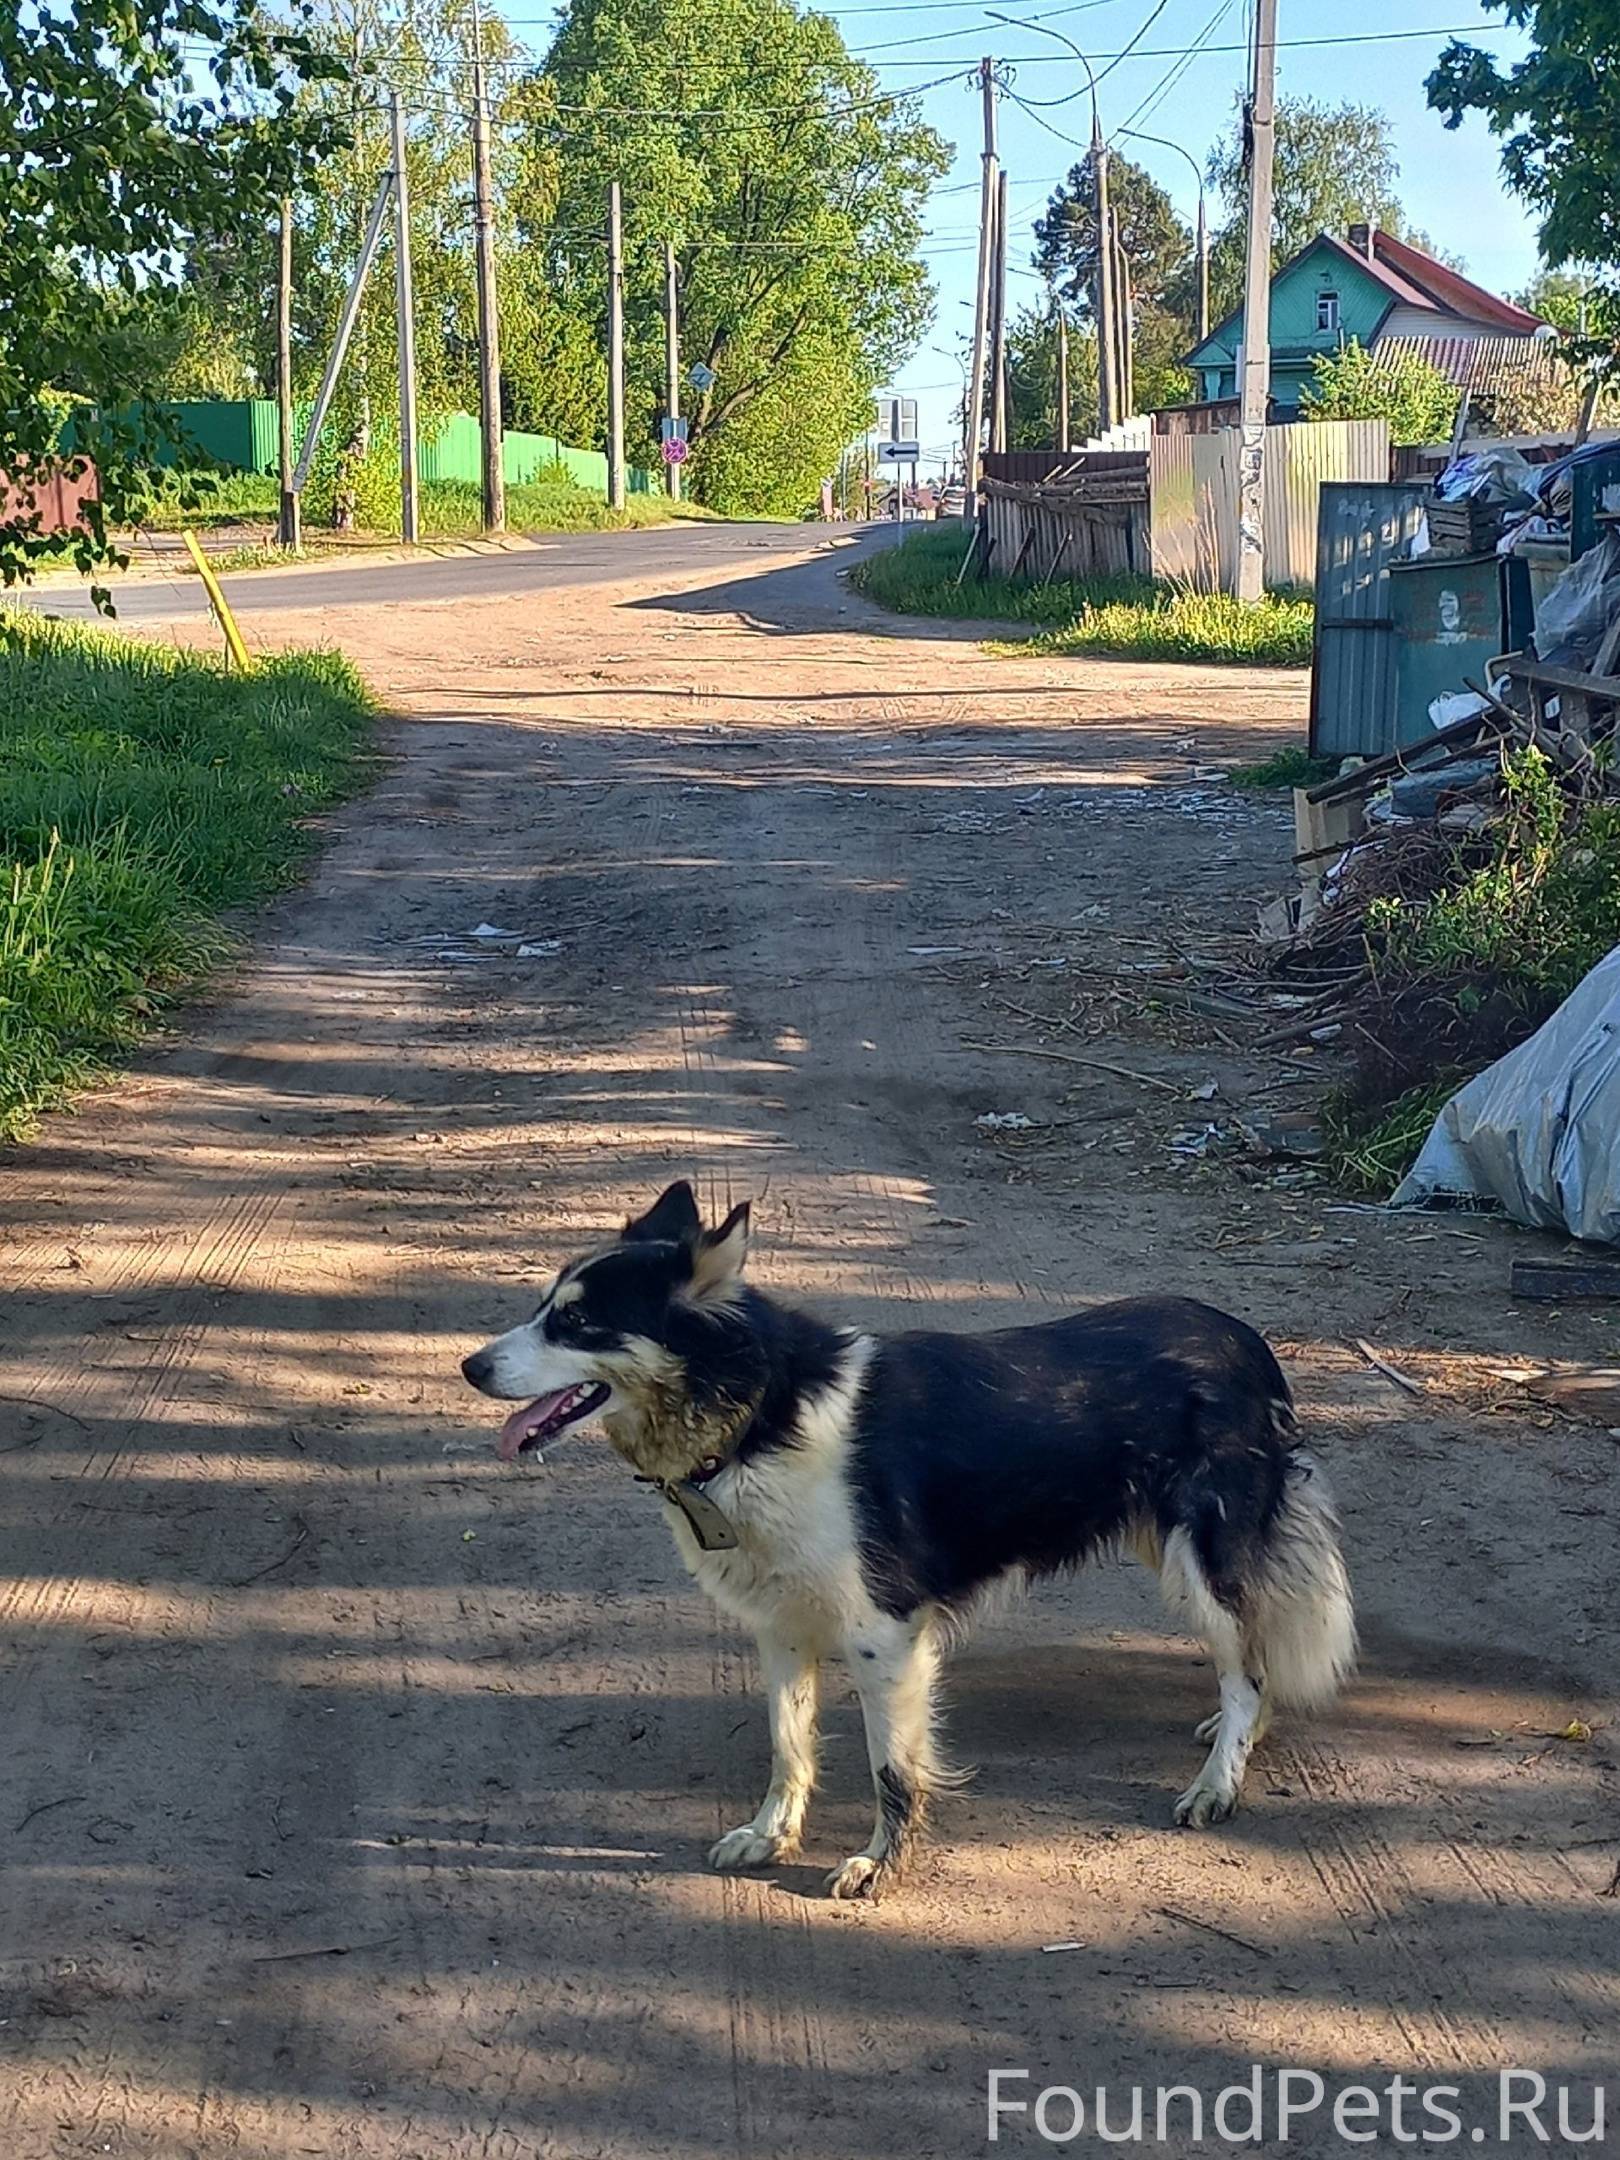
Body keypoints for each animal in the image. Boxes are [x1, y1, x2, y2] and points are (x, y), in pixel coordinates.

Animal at [466, 1192, 1356, 1900]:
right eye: (545, 1307)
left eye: (578, 1321)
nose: (470, 1366)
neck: (760, 1414)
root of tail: (1244, 1340)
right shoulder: (781, 1628)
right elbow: (789, 1745)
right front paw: (771, 1836)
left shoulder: (882, 1635)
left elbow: (892, 1769)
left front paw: (879, 1867)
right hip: (1168, 1547)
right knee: (1254, 1654)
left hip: (1201, 1558)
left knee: (1245, 1669)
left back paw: (1218, 1784)